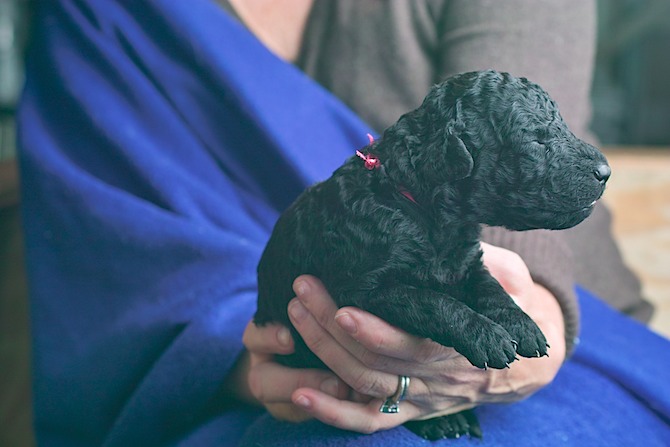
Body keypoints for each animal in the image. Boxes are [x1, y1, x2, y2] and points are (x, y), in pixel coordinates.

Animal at [255, 71, 612, 440]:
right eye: (535, 138)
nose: (606, 171)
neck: (425, 211)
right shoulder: (365, 288)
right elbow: (433, 301)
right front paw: (486, 337)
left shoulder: (468, 262)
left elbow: (492, 288)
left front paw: (523, 325)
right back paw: (444, 420)